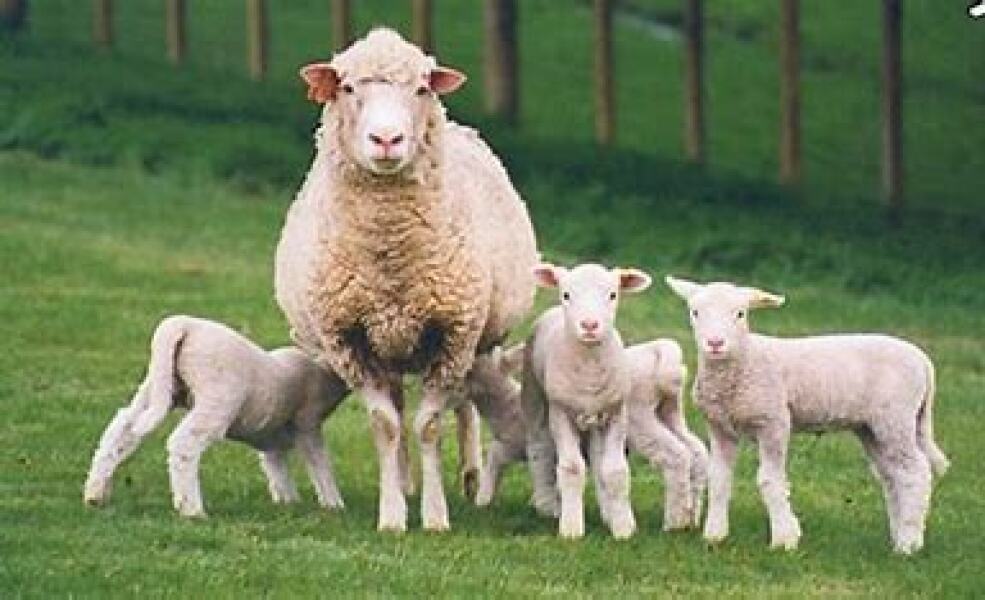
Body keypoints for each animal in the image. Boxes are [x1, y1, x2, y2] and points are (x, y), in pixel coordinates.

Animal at [83, 315, 348, 517]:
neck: (322, 373)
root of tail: (183, 325)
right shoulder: (308, 422)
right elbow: (320, 462)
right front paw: (333, 504)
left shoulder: (272, 439)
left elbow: (276, 468)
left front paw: (288, 502)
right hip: (217, 398)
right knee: (184, 443)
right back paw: (191, 509)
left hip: (159, 385)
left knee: (122, 430)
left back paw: (95, 493)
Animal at [274, 28, 538, 532]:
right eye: (347, 87)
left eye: (421, 89)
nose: (387, 139)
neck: (390, 259)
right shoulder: (350, 341)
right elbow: (386, 426)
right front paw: (393, 513)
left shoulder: (452, 334)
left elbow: (430, 425)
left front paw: (434, 517)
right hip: (388, 345)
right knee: (398, 404)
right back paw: (404, 481)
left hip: (477, 337)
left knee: (466, 401)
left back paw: (469, 476)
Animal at [474, 339, 709, 532]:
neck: (507, 405)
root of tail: (657, 354)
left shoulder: (514, 444)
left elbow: (495, 459)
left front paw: (482, 499)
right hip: (670, 410)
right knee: (697, 452)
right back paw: (692, 515)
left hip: (640, 417)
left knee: (676, 456)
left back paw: (674, 522)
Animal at [521, 262, 652, 539]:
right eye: (566, 294)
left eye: (613, 295)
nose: (590, 324)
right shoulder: (561, 413)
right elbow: (572, 468)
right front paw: (571, 528)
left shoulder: (616, 413)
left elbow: (615, 470)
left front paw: (623, 526)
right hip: (534, 396)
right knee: (539, 445)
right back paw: (547, 504)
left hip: (597, 421)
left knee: (598, 457)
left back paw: (606, 511)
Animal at [665, 276, 949, 554]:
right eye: (695, 312)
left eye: (740, 313)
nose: (715, 343)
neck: (746, 358)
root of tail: (923, 359)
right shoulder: (720, 426)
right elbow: (719, 479)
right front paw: (714, 536)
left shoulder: (774, 421)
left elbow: (770, 481)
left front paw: (784, 540)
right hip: (872, 427)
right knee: (892, 476)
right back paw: (899, 535)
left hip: (896, 417)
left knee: (915, 471)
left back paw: (909, 544)